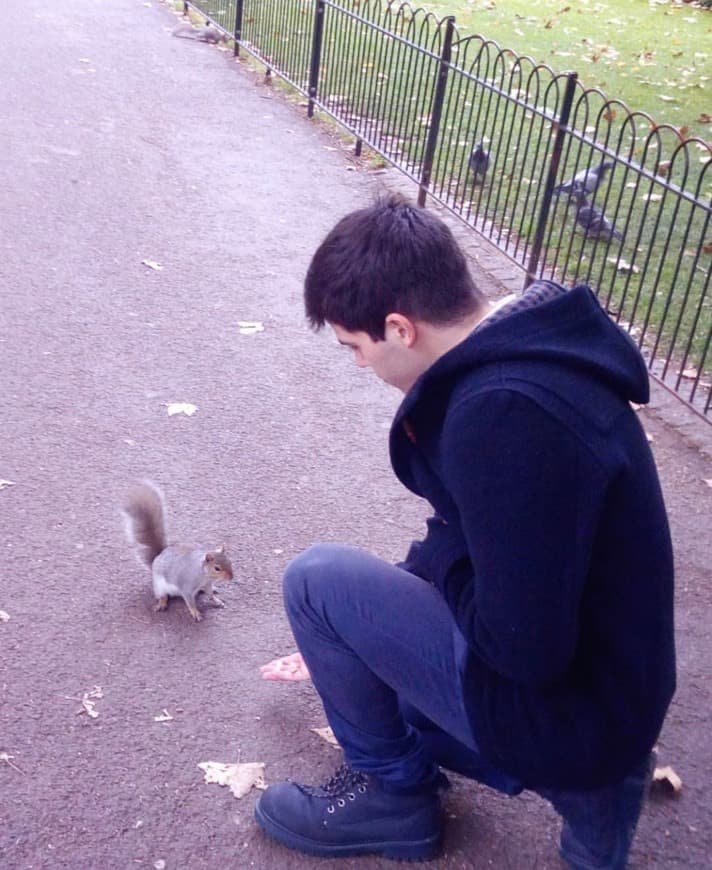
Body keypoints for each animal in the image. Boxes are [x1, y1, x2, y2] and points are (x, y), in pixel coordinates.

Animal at [122, 480, 234, 624]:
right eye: (217, 568)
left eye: (230, 562)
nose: (231, 577)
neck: (204, 575)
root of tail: (159, 556)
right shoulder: (186, 587)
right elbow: (190, 602)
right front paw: (195, 612)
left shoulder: (207, 584)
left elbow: (209, 594)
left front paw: (217, 601)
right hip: (159, 585)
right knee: (162, 595)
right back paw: (162, 602)